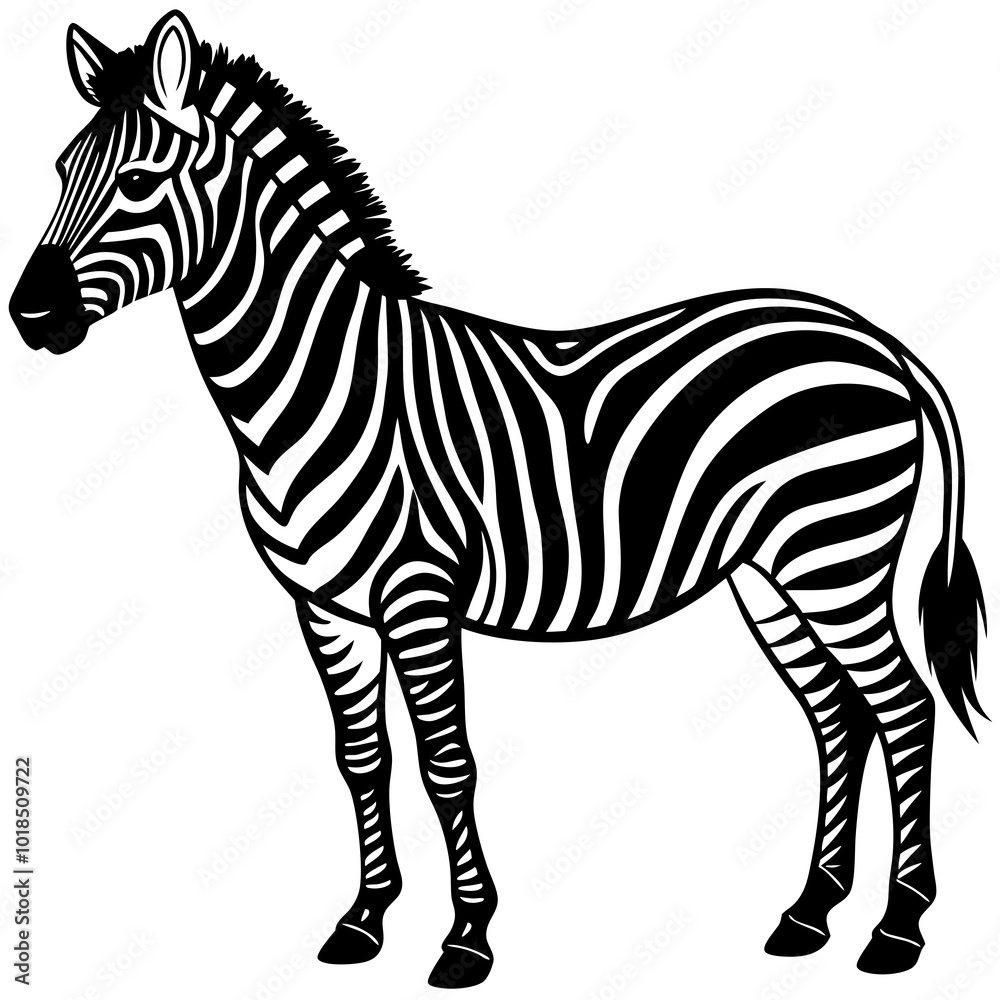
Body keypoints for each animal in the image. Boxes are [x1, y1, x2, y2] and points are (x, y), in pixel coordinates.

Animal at [9, 10, 986, 989]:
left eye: (139, 181)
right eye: (57, 171)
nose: (28, 316)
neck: (320, 383)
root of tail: (874, 338)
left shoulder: (418, 593)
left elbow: (447, 762)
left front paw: (466, 937)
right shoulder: (324, 608)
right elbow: (361, 759)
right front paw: (364, 920)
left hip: (836, 555)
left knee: (903, 708)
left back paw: (898, 928)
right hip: (769, 572)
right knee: (836, 716)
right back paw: (809, 914)